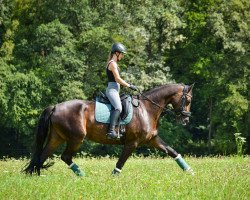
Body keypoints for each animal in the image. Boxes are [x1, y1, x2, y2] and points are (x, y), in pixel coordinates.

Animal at [23, 83, 194, 177]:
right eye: (188, 100)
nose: (186, 120)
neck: (147, 109)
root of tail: (55, 107)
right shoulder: (132, 143)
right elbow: (120, 162)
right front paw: (113, 178)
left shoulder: (153, 139)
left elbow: (172, 152)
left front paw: (190, 172)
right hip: (76, 138)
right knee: (65, 157)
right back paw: (83, 176)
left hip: (57, 138)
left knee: (42, 156)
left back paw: (33, 176)